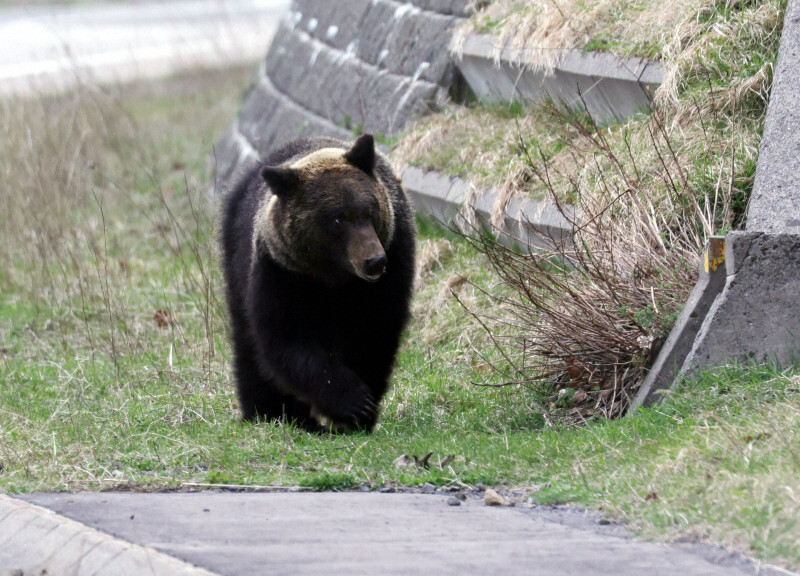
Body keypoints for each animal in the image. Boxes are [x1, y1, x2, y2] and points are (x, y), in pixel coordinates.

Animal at [219, 134, 418, 432]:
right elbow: (287, 339)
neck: (333, 278)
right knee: (248, 345)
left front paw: (362, 412)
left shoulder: (390, 270)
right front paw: (352, 401)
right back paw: (266, 412)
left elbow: (374, 334)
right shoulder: (282, 274)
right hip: (235, 260)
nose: (374, 261)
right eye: (338, 218)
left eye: (371, 211)